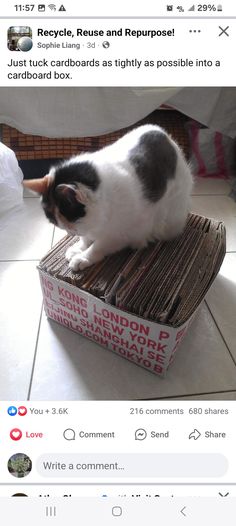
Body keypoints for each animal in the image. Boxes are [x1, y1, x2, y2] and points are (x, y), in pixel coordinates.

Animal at [24, 126, 194, 270]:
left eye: (72, 221)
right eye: (56, 223)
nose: (70, 233)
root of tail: (164, 134)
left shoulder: (119, 234)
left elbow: (98, 245)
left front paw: (83, 257)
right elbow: (87, 238)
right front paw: (79, 247)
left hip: (170, 216)